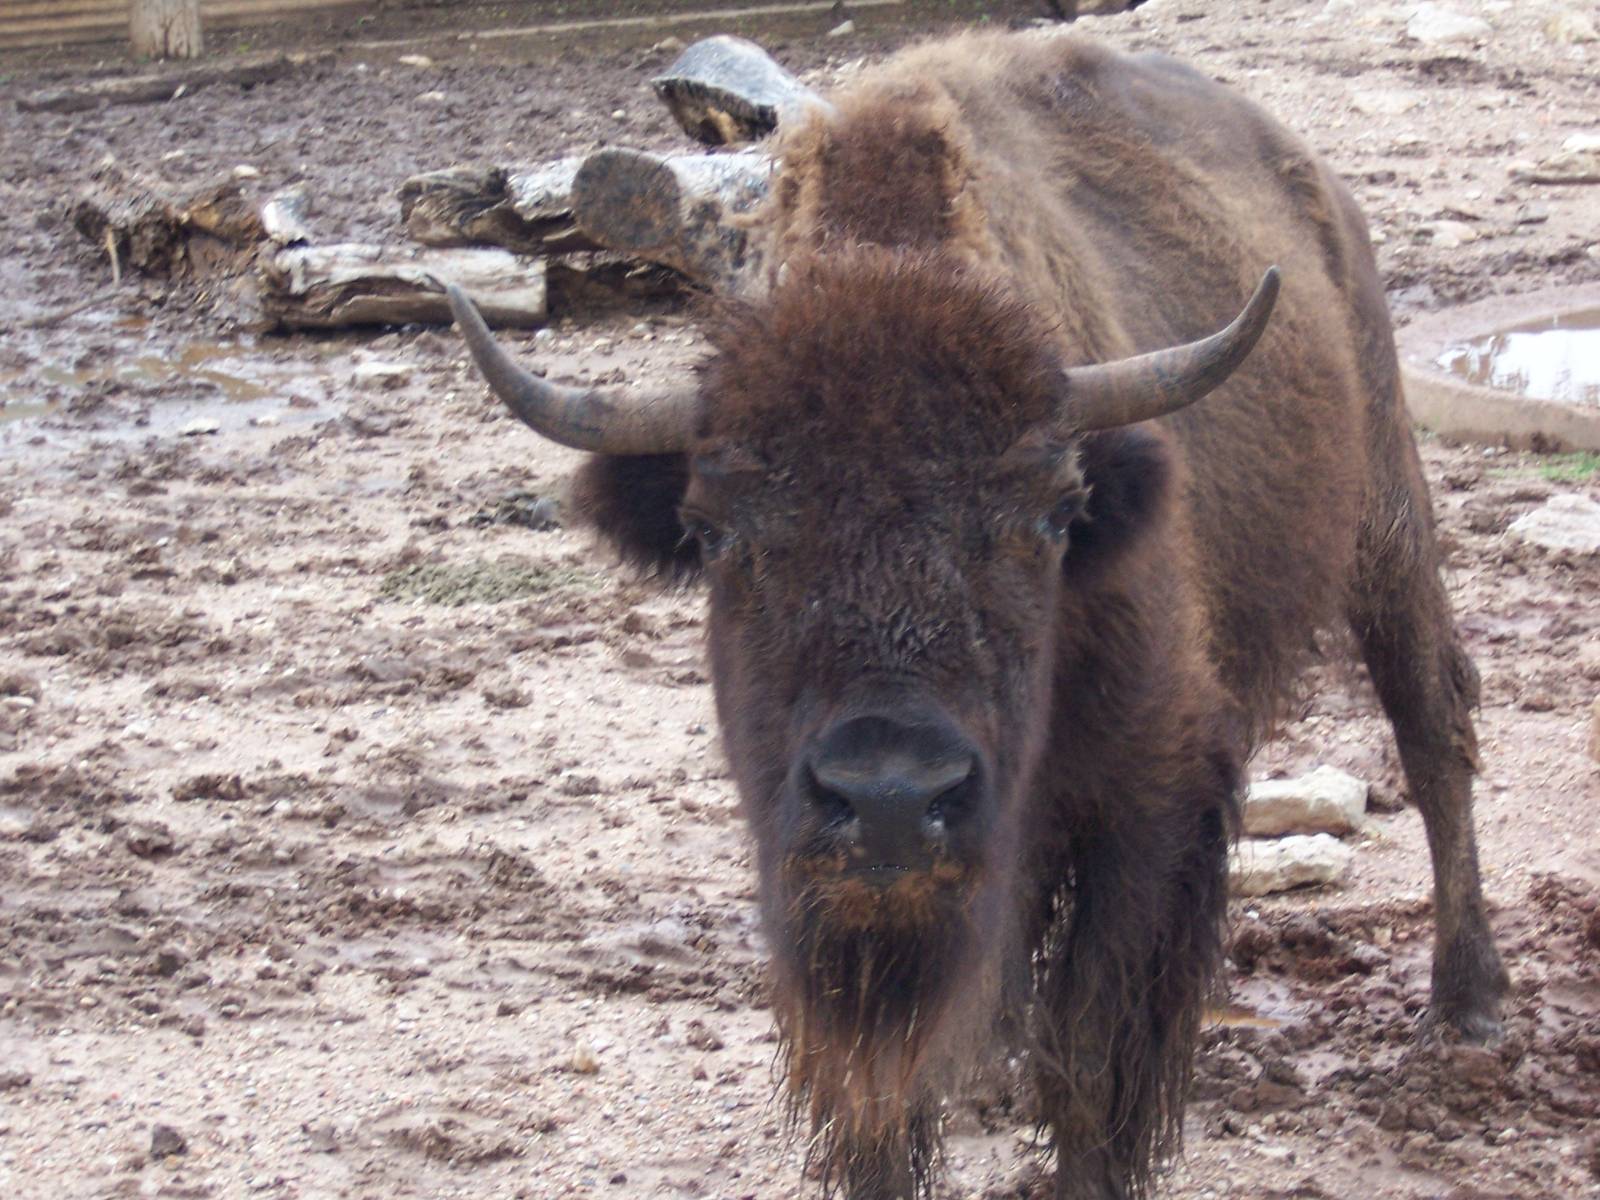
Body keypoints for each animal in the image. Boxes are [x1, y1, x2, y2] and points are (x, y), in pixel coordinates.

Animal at [447, 29, 1507, 1200]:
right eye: (716, 527)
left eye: (1049, 513)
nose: (891, 798)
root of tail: (1311, 178)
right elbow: (877, 1099)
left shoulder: (1156, 793)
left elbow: (1089, 1062)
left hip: (1386, 518)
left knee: (1433, 729)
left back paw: (1467, 1007)